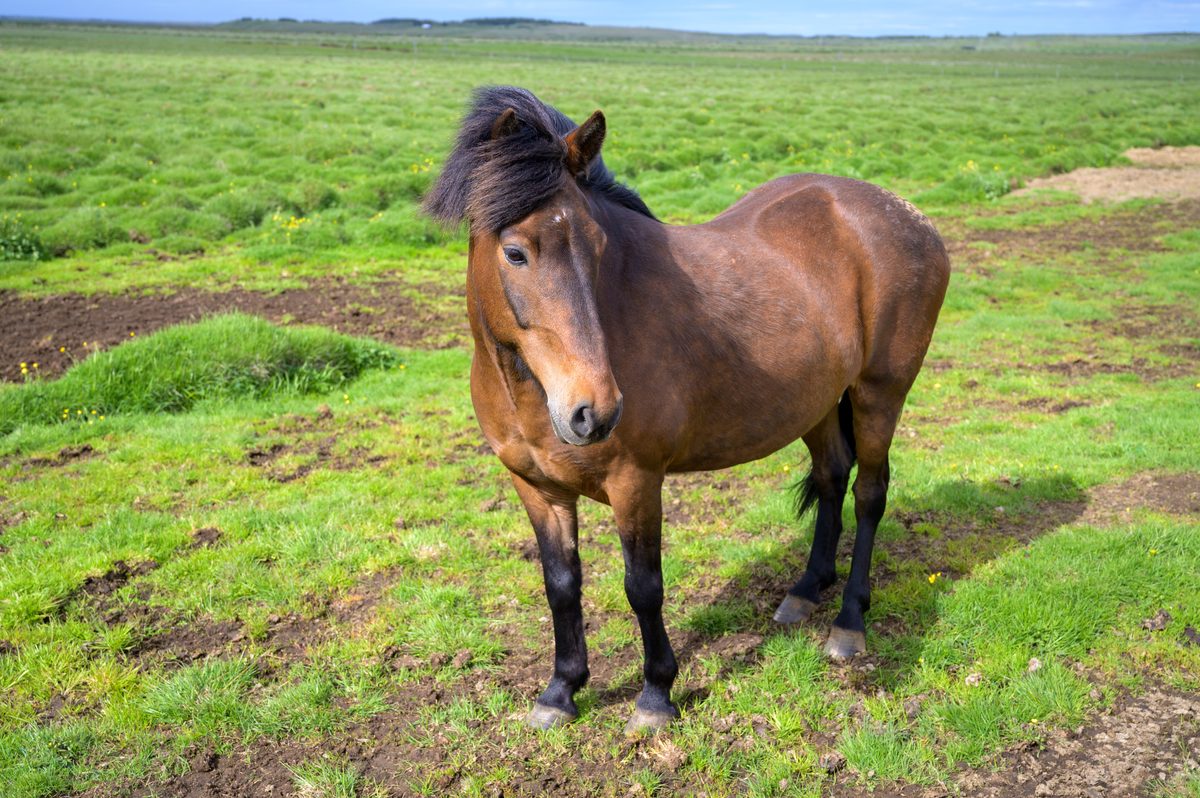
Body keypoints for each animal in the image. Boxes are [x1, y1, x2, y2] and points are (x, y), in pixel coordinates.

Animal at [424, 86, 950, 734]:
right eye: (516, 253)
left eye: (599, 248)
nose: (593, 411)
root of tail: (909, 217)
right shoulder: (536, 488)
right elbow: (561, 585)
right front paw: (560, 691)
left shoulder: (636, 482)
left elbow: (643, 586)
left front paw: (655, 696)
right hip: (819, 403)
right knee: (832, 477)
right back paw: (805, 592)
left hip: (881, 392)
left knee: (870, 493)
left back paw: (849, 623)